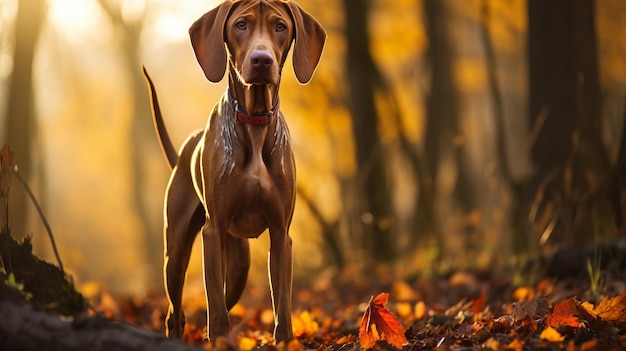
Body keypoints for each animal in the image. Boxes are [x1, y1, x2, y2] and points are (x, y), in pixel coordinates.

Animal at [142, 0, 326, 344]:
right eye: (241, 25)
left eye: (280, 27)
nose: (262, 59)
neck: (254, 120)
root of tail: (184, 152)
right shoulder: (212, 233)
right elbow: (214, 305)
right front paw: (219, 341)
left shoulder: (281, 235)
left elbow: (282, 305)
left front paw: (285, 341)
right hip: (176, 253)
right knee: (177, 312)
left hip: (240, 264)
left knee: (223, 301)